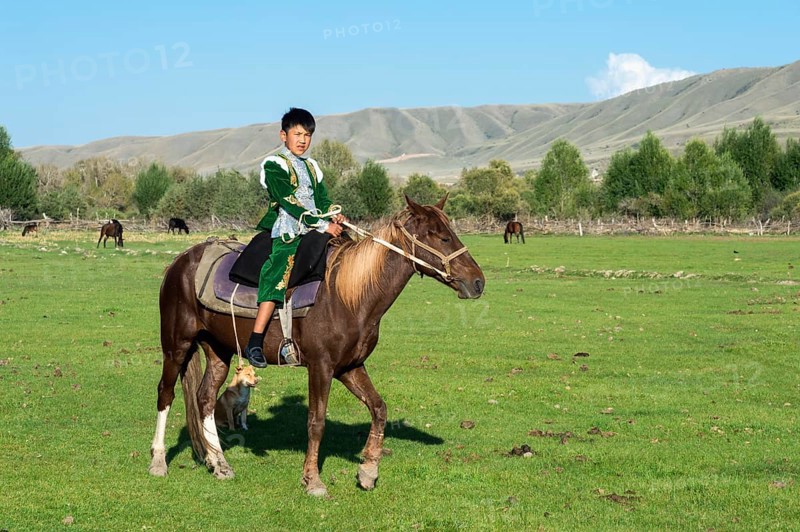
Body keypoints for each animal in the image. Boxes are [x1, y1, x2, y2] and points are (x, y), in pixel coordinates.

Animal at [148, 196, 485, 496]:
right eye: (442, 236)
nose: (478, 282)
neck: (347, 295)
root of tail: (179, 262)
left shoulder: (350, 367)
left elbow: (379, 408)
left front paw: (368, 471)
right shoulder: (320, 367)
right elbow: (316, 422)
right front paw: (313, 480)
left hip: (218, 349)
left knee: (205, 398)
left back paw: (219, 464)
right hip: (177, 345)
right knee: (166, 393)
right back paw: (158, 461)